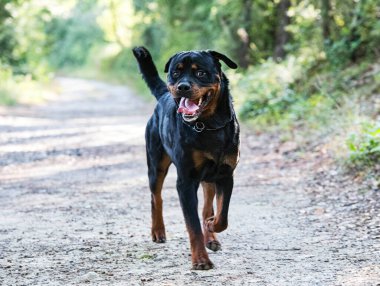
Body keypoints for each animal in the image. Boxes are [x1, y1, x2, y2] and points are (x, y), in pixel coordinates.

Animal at [133, 45, 240, 270]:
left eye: (200, 73)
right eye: (176, 72)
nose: (182, 87)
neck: (209, 125)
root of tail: (164, 96)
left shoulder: (226, 176)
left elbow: (221, 216)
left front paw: (211, 227)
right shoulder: (186, 181)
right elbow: (193, 226)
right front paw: (200, 260)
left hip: (208, 180)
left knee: (207, 207)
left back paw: (211, 237)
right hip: (156, 165)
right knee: (156, 197)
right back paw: (158, 231)